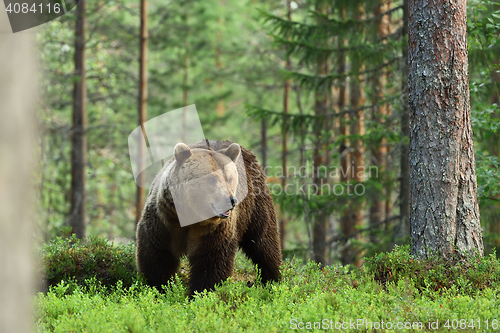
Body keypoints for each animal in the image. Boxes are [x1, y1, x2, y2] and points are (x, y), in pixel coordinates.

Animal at [135, 139, 282, 294]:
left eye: (230, 178)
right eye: (212, 179)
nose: (231, 200)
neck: (192, 216)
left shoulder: (214, 230)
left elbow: (211, 261)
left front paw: (201, 292)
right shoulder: (165, 220)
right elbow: (157, 255)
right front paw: (159, 287)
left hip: (255, 203)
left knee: (264, 241)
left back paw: (272, 280)